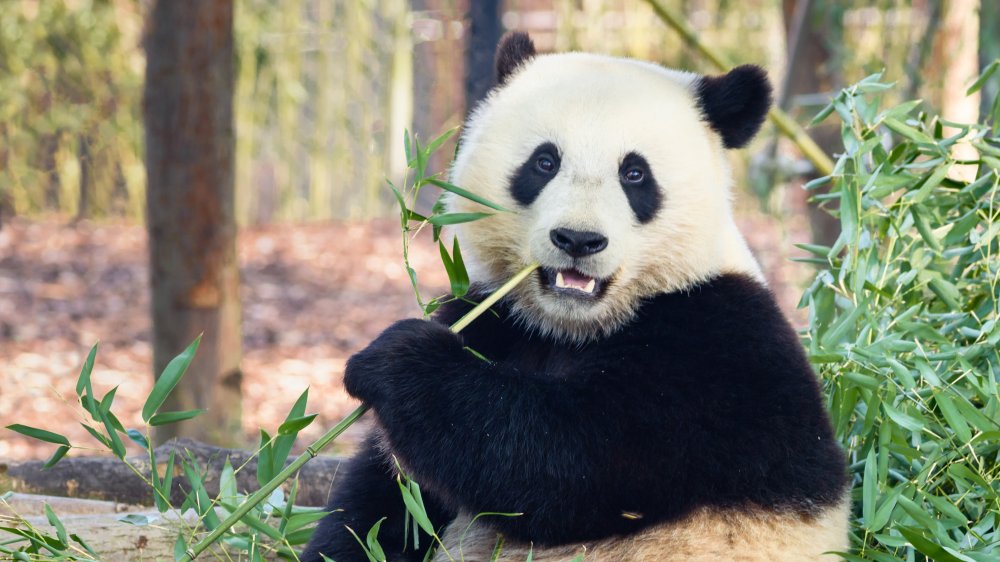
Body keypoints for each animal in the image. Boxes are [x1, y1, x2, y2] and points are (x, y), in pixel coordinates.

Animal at [303, 32, 849, 562]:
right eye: (544, 162)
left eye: (635, 174)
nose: (579, 240)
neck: (572, 326)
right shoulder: (496, 317)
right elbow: (389, 501)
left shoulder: (718, 348)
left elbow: (569, 461)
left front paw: (396, 358)